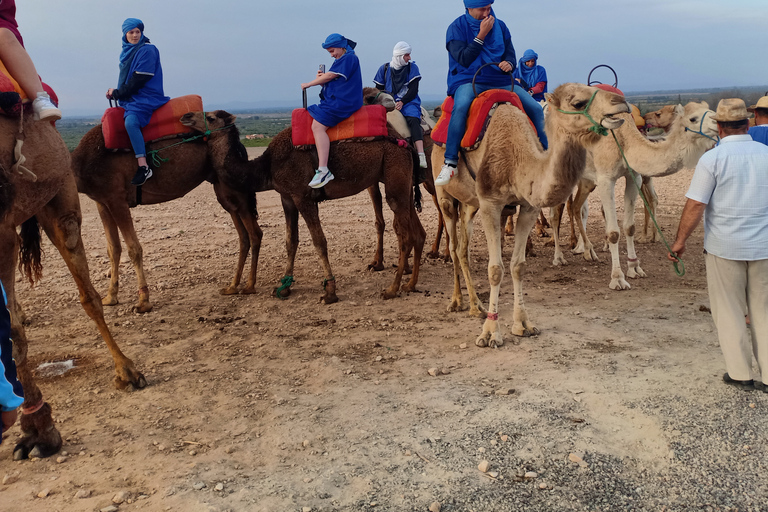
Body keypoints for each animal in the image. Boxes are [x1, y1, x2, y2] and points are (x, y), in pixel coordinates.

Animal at [72, 120, 264, 312]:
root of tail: (239, 146)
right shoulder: (102, 202)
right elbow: (113, 249)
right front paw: (110, 297)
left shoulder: (117, 199)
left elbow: (134, 249)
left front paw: (143, 302)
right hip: (223, 188)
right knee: (243, 234)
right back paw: (232, 286)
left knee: (255, 233)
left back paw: (249, 286)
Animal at [183, 108, 428, 300]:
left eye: (210, 117)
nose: (185, 116)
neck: (268, 166)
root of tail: (405, 144)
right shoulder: (287, 198)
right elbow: (291, 241)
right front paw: (284, 287)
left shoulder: (303, 196)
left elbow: (319, 241)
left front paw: (330, 291)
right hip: (401, 182)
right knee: (416, 231)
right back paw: (410, 284)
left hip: (394, 176)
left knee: (405, 235)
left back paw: (392, 289)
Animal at [432, 82, 632, 344]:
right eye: (578, 102)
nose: (621, 102)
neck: (516, 158)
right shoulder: (490, 204)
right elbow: (495, 269)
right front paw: (490, 333)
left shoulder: (528, 207)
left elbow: (518, 266)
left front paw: (523, 324)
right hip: (445, 196)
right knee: (454, 247)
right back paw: (458, 302)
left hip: (469, 205)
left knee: (463, 247)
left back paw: (477, 305)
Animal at [548, 102, 716, 290]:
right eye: (693, 118)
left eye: (711, 111)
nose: (717, 123)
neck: (624, 140)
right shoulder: (605, 179)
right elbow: (613, 232)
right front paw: (617, 278)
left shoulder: (633, 176)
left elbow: (629, 227)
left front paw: (634, 268)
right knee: (555, 214)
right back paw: (559, 257)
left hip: (585, 180)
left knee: (576, 207)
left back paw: (588, 251)